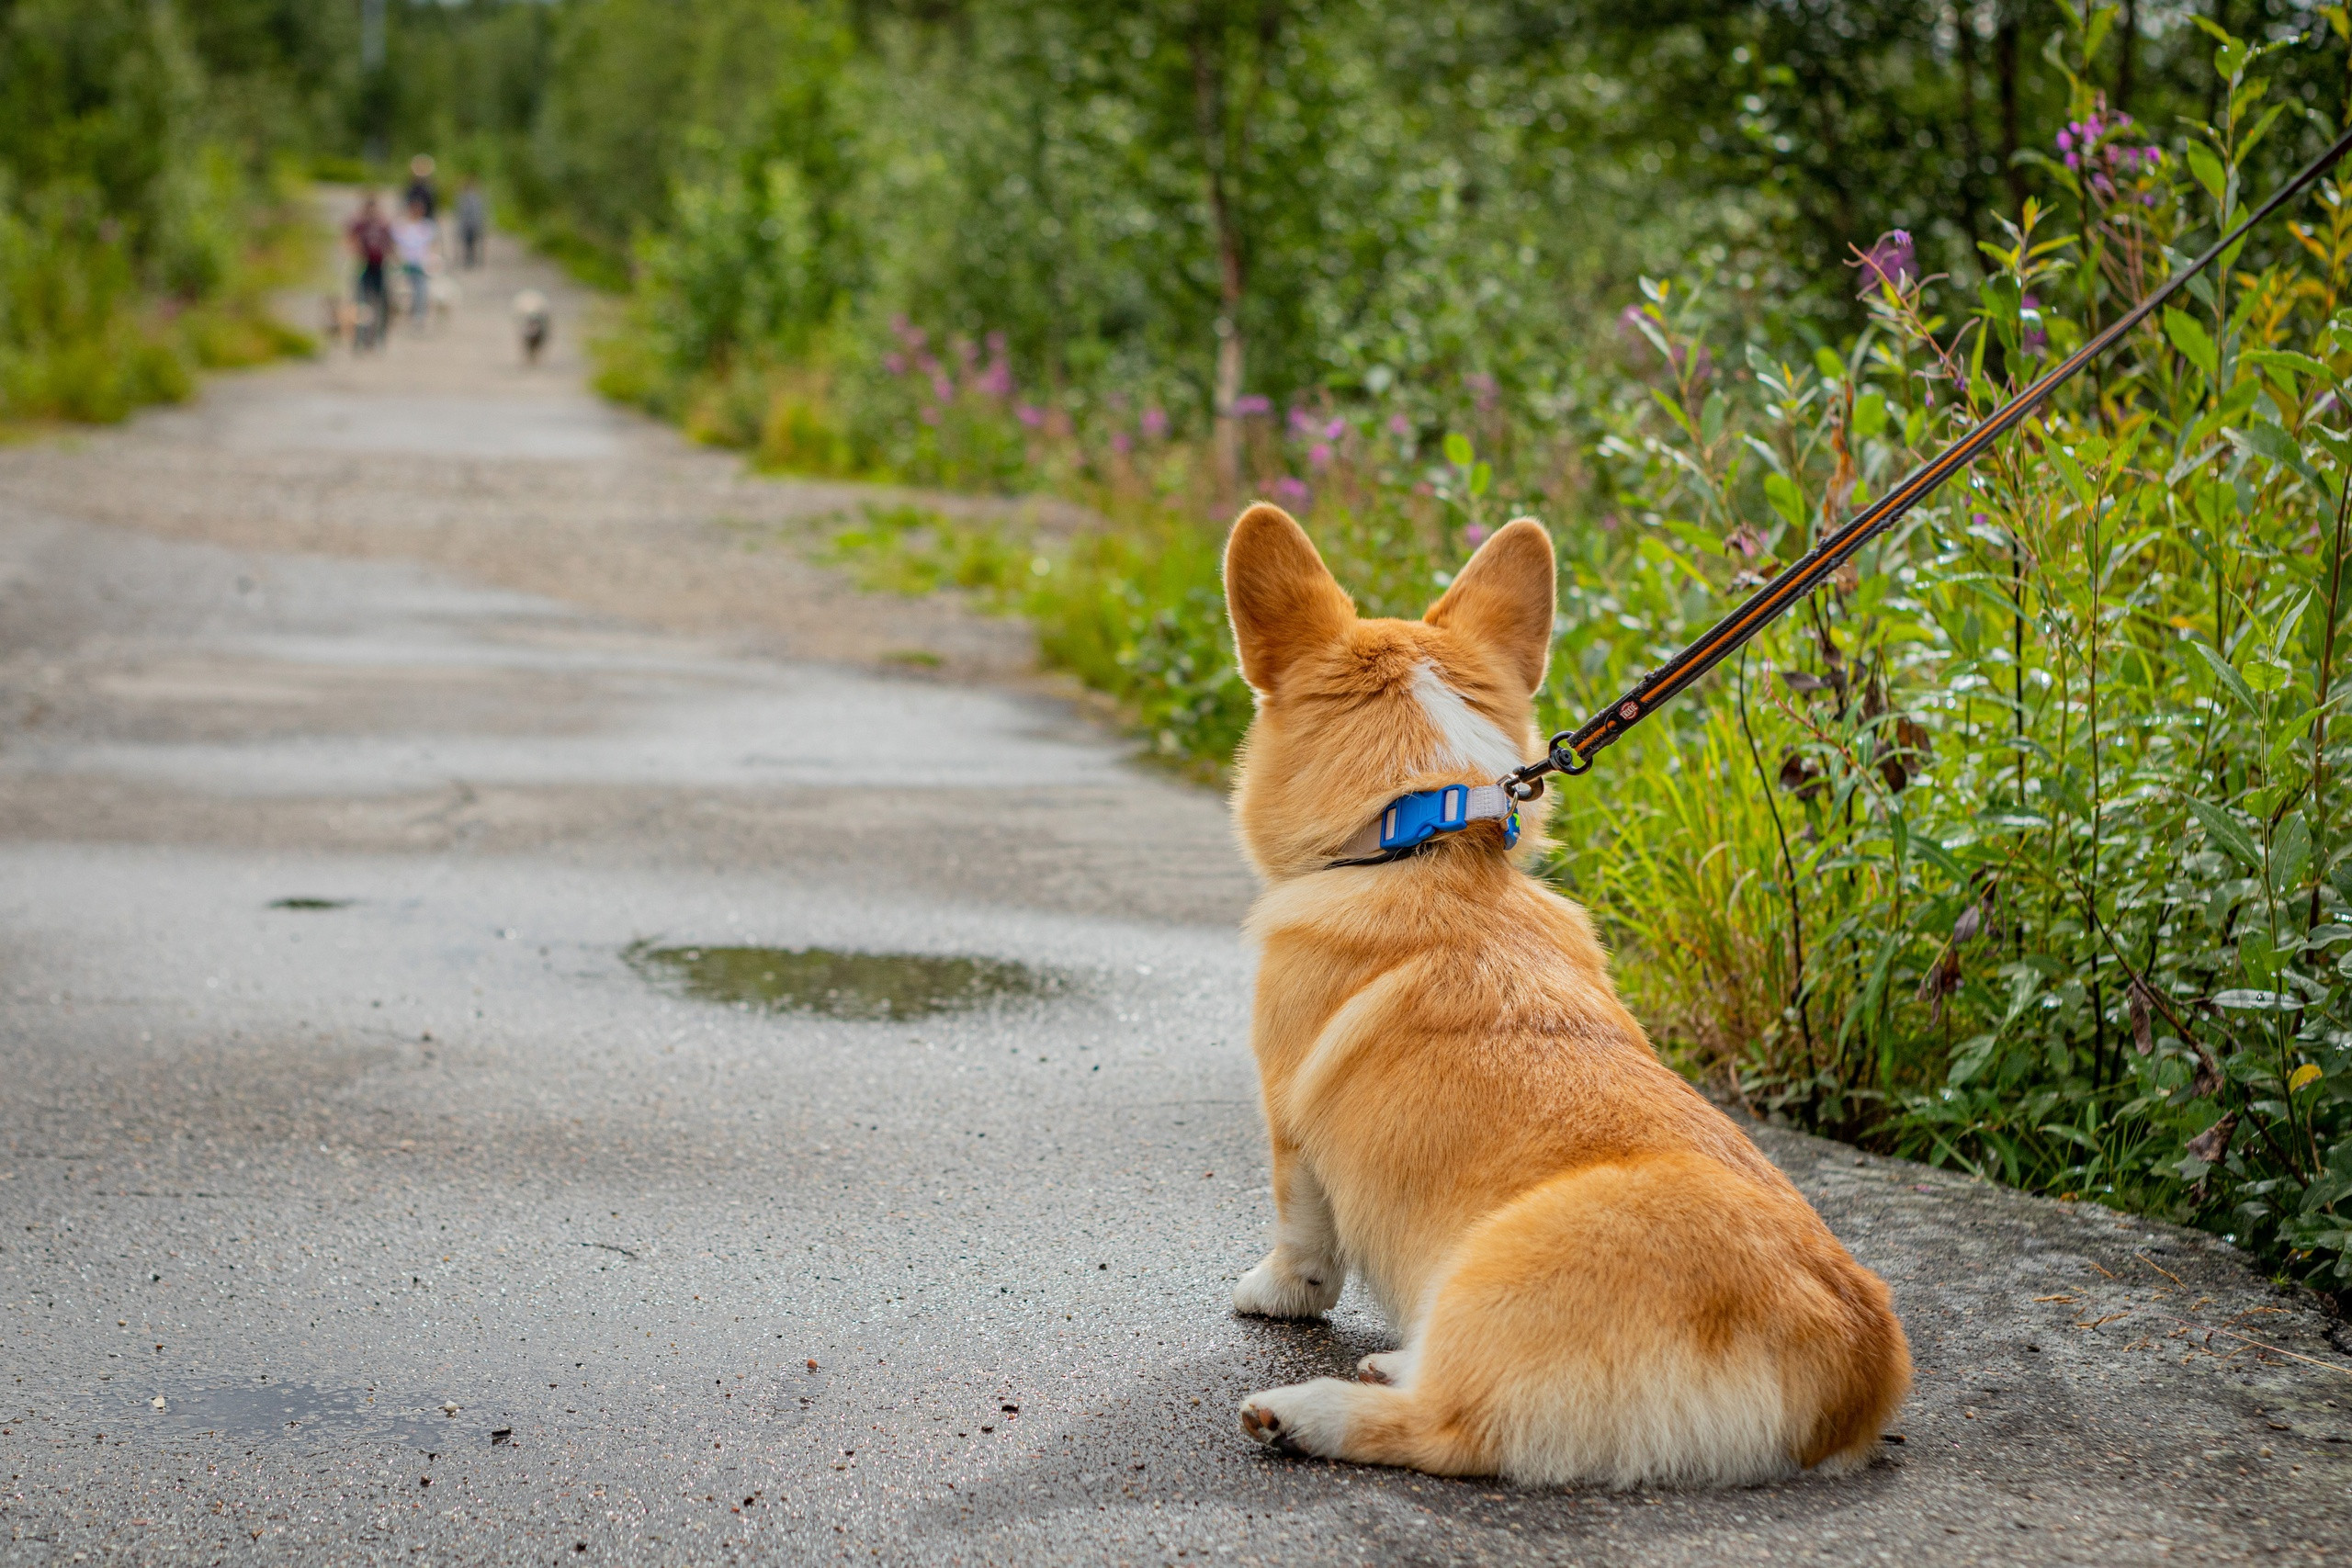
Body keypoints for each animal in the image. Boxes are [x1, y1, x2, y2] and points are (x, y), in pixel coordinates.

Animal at [1223, 502, 1900, 1485]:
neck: (1423, 839)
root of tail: (1851, 1360)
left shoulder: (1289, 1122)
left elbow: (1304, 1237)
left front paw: (1275, 1294)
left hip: (1491, 1272)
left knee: (1453, 1429)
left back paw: (1304, 1411)